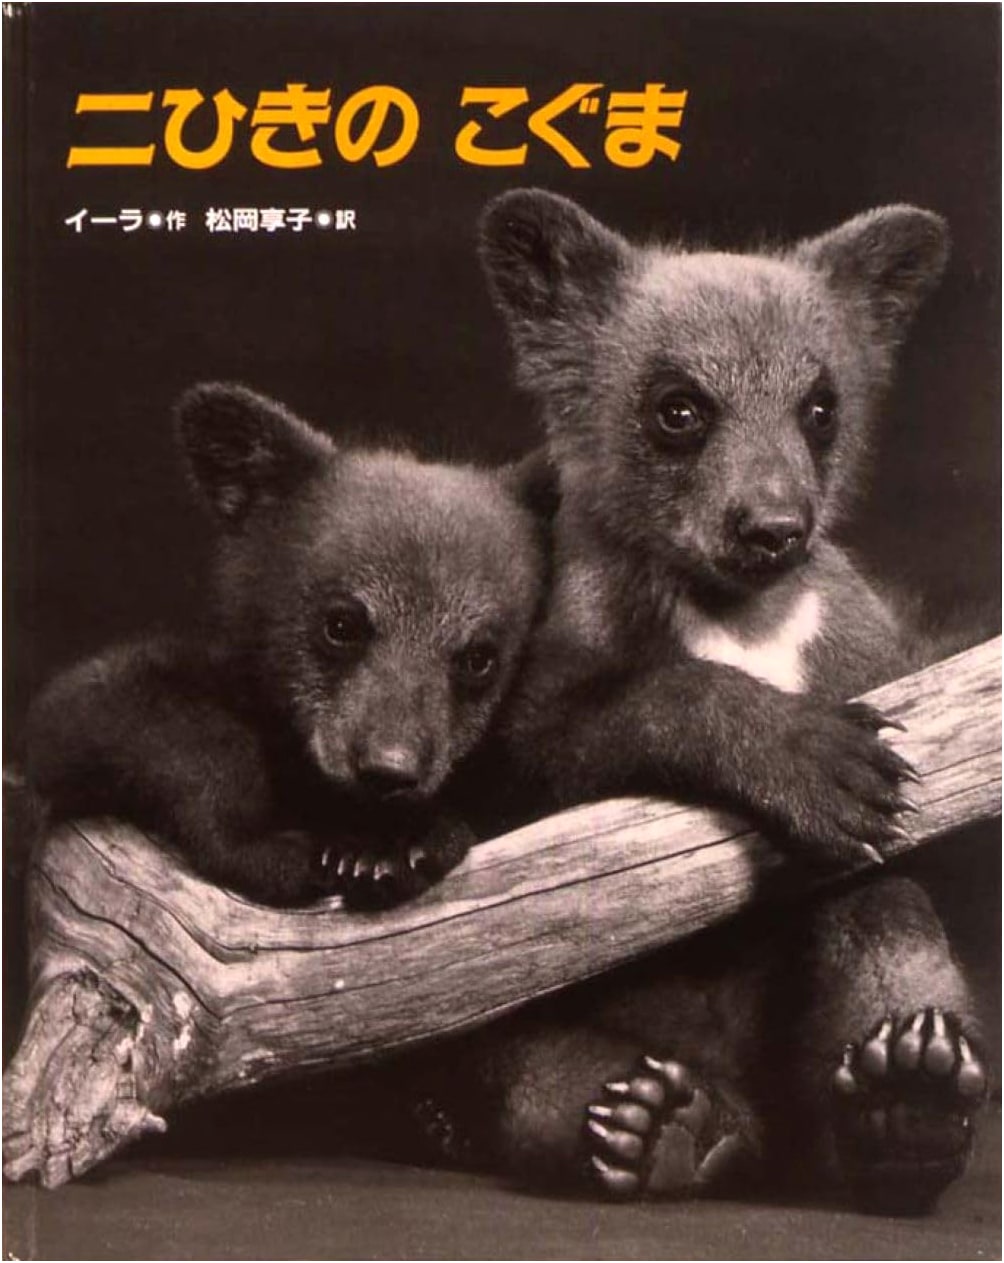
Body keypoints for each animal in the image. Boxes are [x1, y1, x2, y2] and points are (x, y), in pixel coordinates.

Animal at [24, 382, 547, 910]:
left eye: (479, 658)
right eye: (341, 624)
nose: (388, 770)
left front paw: (389, 845)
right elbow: (111, 705)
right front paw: (267, 846)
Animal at [392, 192, 988, 1216]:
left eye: (820, 407)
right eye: (679, 408)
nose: (773, 526)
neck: (741, 618)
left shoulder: (874, 653)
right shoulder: (536, 672)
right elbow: (560, 749)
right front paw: (810, 758)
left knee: (885, 920)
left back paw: (904, 1104)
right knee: (509, 1052)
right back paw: (655, 1121)